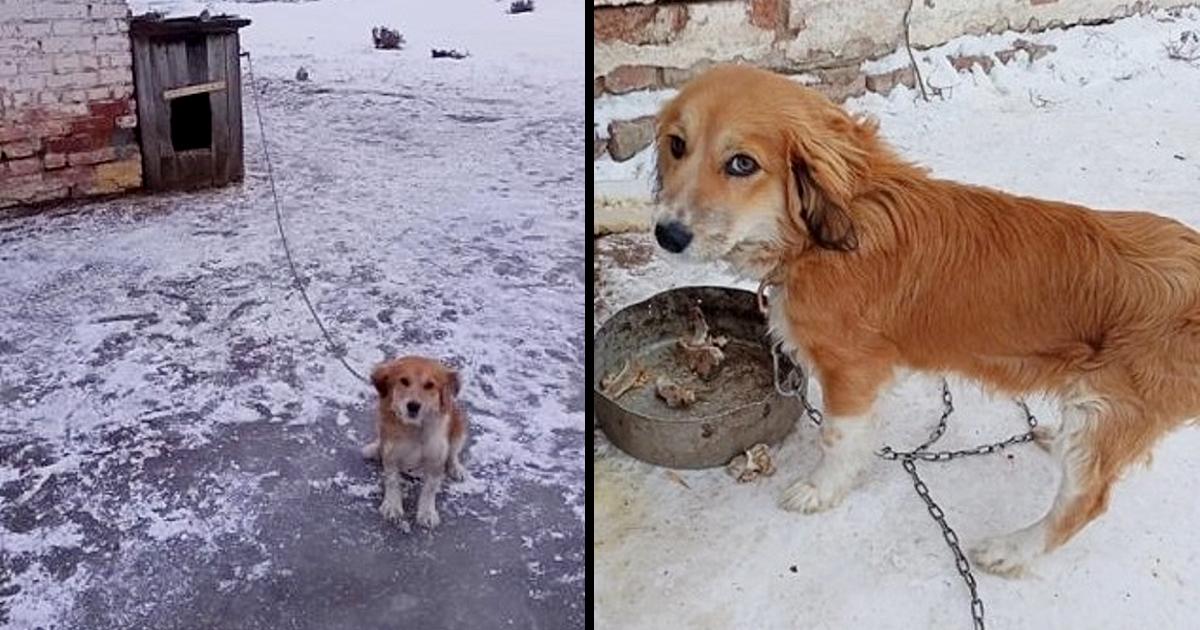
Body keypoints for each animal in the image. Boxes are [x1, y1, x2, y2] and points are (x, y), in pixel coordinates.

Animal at [360, 352, 468, 530]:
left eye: (430, 385)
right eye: (404, 381)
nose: (413, 406)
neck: (414, 430)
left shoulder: (436, 458)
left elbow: (430, 489)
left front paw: (427, 513)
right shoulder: (391, 454)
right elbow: (392, 481)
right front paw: (392, 506)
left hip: (459, 425)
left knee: (453, 453)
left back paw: (456, 468)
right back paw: (374, 449)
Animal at [652, 63, 1200, 573]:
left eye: (742, 163)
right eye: (677, 145)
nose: (666, 235)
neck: (826, 235)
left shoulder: (851, 369)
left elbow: (836, 438)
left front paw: (820, 490)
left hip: (1103, 409)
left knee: (1085, 500)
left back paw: (1011, 550)